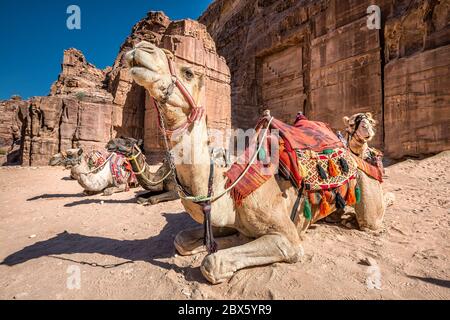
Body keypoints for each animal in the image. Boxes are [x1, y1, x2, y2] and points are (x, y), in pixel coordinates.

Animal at [125, 41, 384, 284]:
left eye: (188, 72)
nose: (141, 48)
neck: (228, 185)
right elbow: (182, 239)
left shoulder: (288, 238)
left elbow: (213, 263)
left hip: (365, 182)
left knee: (373, 217)